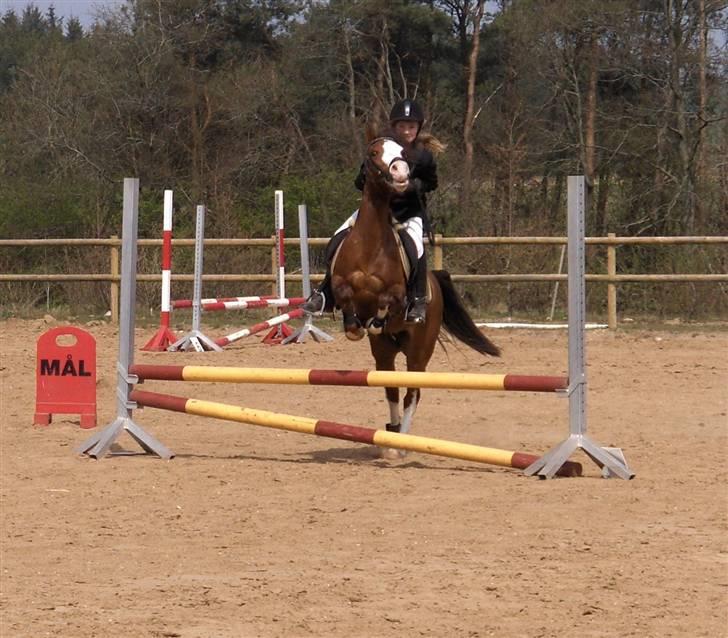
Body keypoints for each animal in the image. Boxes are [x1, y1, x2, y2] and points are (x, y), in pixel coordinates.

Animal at [330, 128, 501, 457]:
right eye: (373, 153)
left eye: (403, 155)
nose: (400, 174)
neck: (370, 244)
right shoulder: (340, 284)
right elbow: (344, 297)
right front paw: (354, 326)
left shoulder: (396, 295)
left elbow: (387, 300)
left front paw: (376, 319)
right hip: (384, 352)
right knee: (391, 387)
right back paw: (392, 436)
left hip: (418, 352)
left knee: (413, 391)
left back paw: (403, 442)